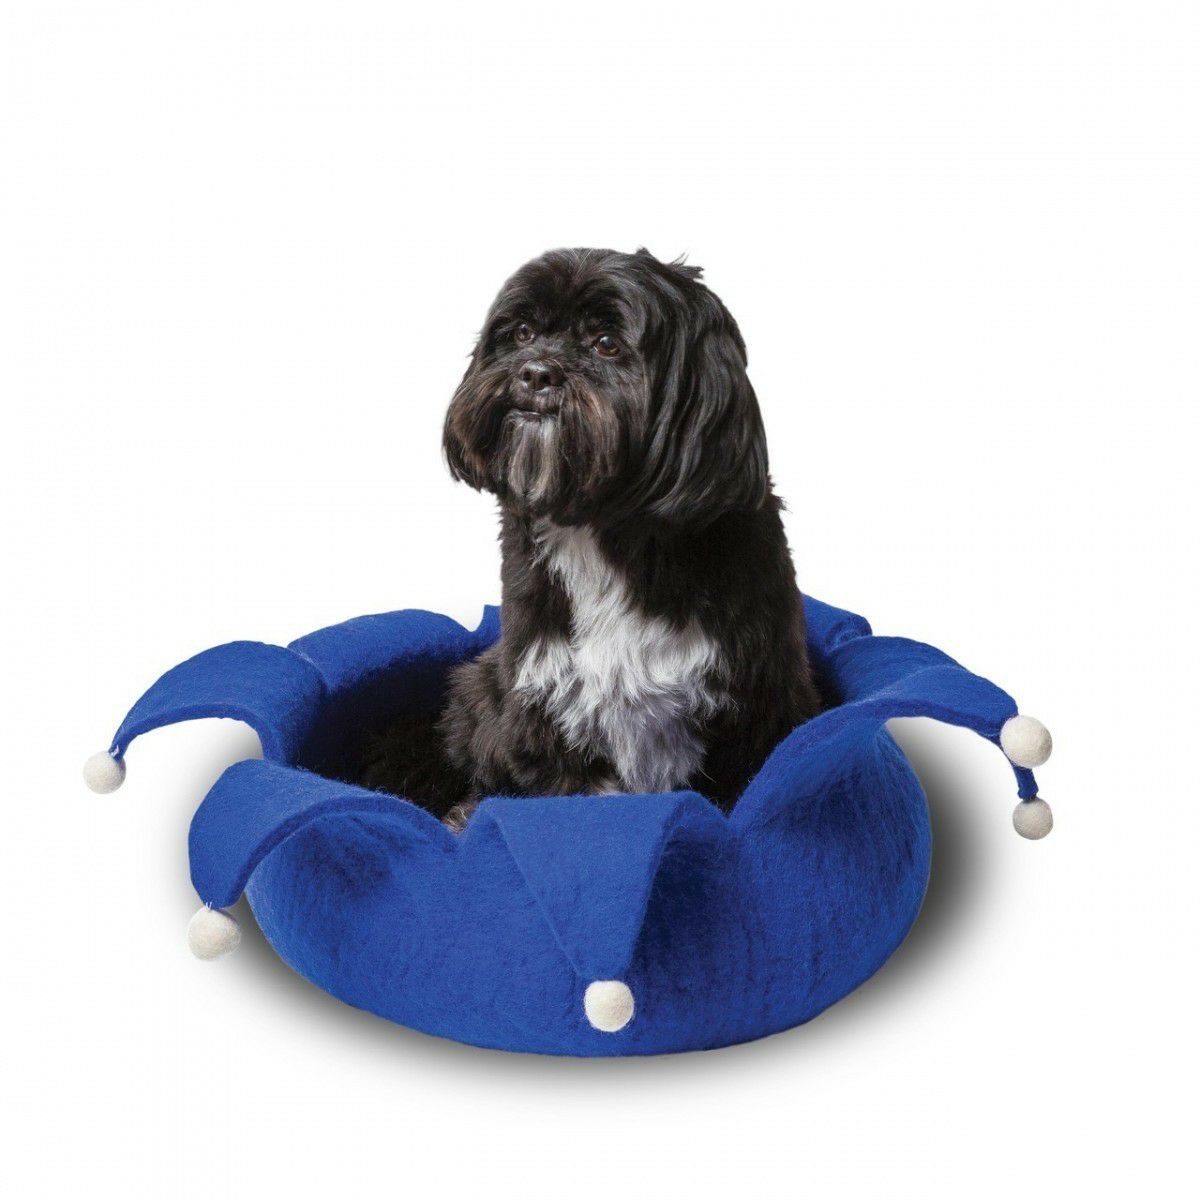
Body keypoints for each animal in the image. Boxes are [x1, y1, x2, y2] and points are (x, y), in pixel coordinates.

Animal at [364, 248, 822, 829]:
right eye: (521, 332)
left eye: (606, 343)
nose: (536, 371)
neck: (606, 532)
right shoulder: (542, 704)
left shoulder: (758, 705)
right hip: (480, 687)